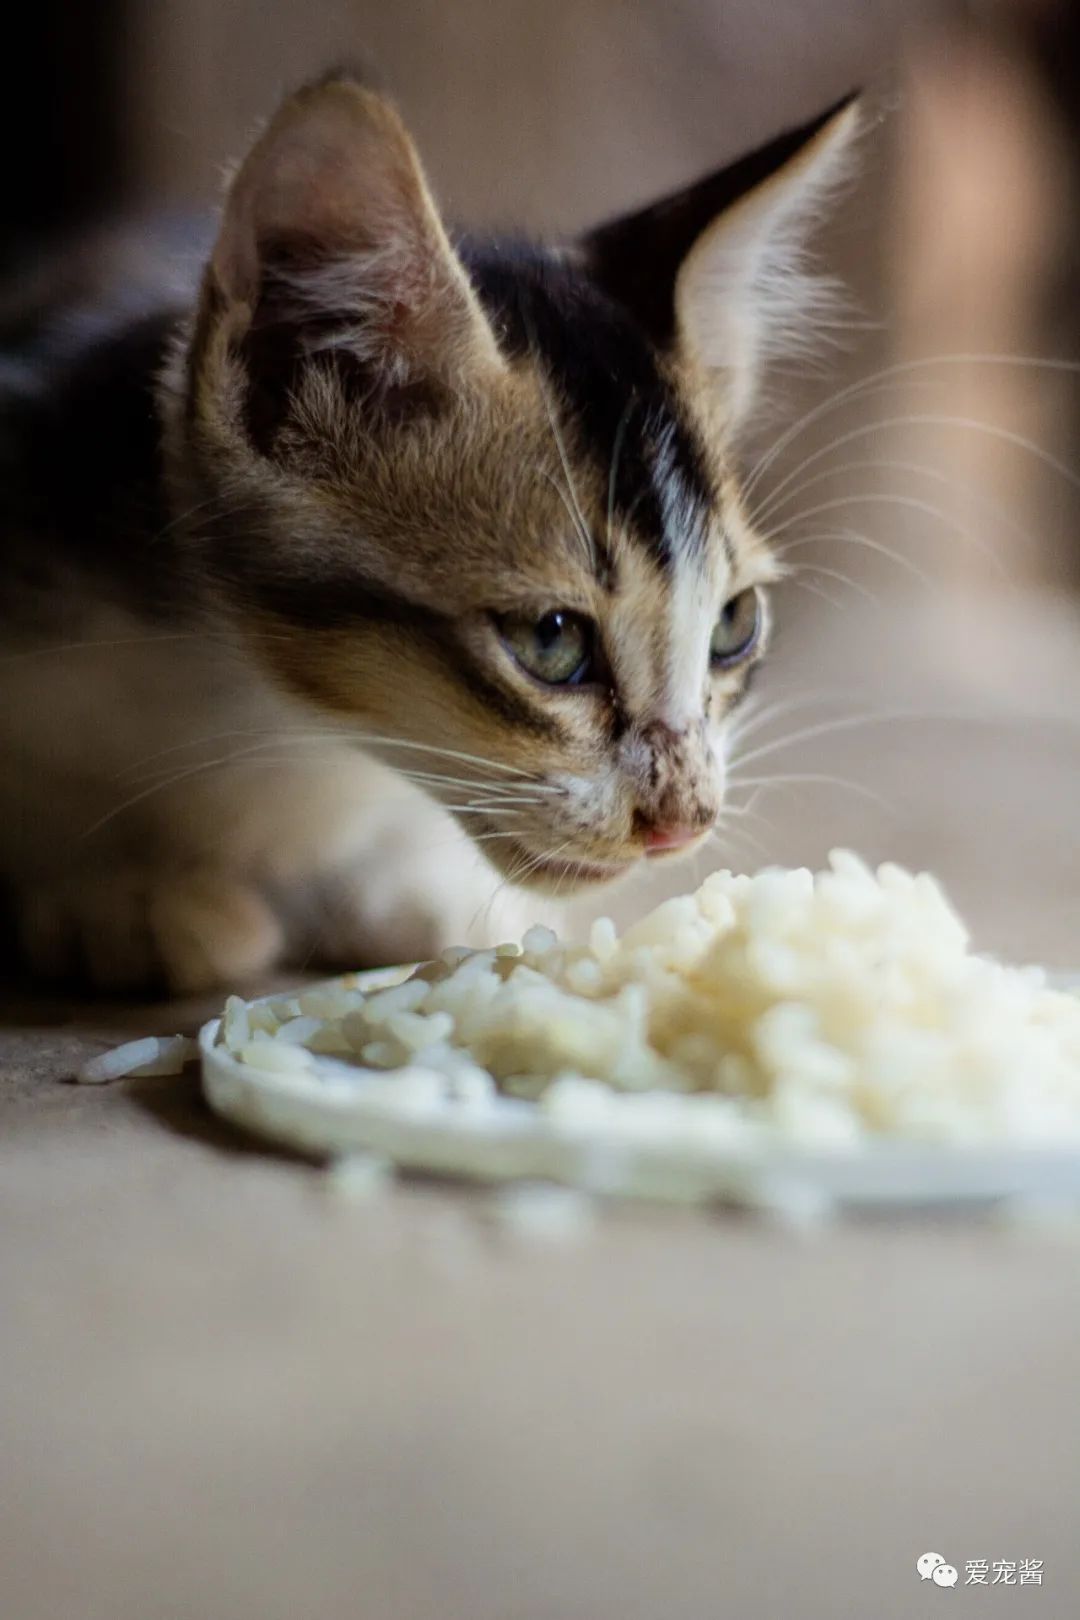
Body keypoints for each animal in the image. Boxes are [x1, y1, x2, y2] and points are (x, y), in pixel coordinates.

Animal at [0, 76, 861, 991]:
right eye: (551, 639)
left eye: (734, 626)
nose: (684, 823)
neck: (282, 728)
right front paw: (122, 889)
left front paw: (415, 880)